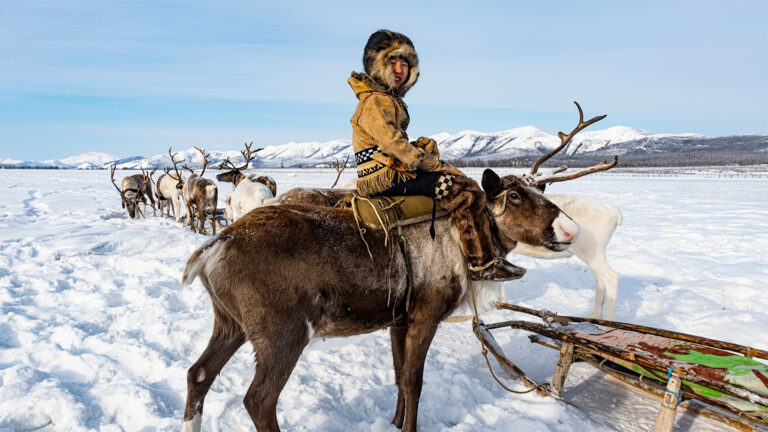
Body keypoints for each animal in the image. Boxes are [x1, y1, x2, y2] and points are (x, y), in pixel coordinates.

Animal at [179, 105, 615, 432]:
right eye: (515, 195)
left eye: (540, 189)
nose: (571, 229)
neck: (462, 243)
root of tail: (213, 246)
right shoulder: (425, 315)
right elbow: (414, 382)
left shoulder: (397, 319)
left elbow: (399, 377)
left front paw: (392, 422)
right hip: (282, 333)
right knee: (258, 399)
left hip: (230, 323)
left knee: (198, 375)